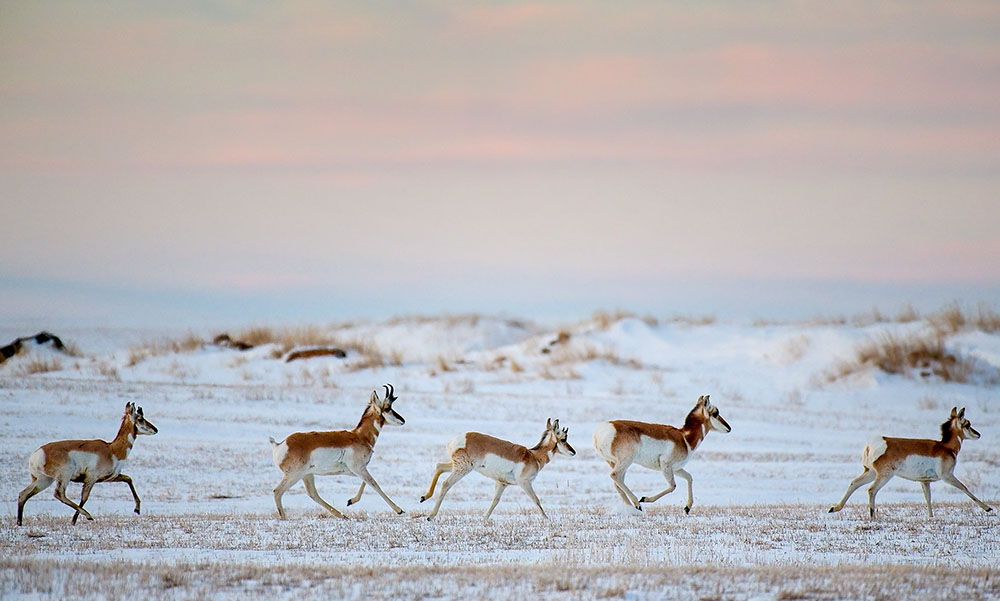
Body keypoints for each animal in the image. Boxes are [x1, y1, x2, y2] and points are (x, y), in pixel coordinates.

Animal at [16, 404, 158, 524]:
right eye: (140, 419)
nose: (156, 429)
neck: (112, 450)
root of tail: (37, 454)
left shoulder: (110, 477)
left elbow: (128, 479)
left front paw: (137, 509)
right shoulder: (91, 479)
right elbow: (84, 498)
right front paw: (74, 521)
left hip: (43, 480)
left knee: (23, 494)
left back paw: (19, 523)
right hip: (63, 476)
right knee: (59, 494)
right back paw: (88, 515)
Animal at [270, 386, 406, 516]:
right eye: (387, 408)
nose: (403, 420)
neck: (360, 436)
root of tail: (280, 445)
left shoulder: (354, 470)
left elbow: (366, 482)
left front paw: (350, 501)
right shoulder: (358, 468)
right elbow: (374, 484)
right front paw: (399, 510)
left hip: (307, 475)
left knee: (313, 494)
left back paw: (342, 515)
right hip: (295, 475)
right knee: (277, 492)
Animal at [422, 418, 580, 520]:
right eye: (564, 438)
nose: (574, 452)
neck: (533, 455)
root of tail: (458, 439)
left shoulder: (501, 484)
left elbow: (495, 501)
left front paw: (484, 519)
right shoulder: (524, 483)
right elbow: (536, 499)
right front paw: (547, 518)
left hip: (458, 466)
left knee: (439, 466)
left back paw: (424, 497)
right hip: (462, 469)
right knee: (446, 484)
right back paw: (431, 516)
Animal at [588, 396, 732, 512]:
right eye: (715, 413)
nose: (729, 428)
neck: (684, 437)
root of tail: (601, 431)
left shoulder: (677, 469)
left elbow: (689, 477)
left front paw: (687, 508)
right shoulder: (666, 466)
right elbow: (673, 486)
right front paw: (644, 498)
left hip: (614, 463)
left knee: (617, 482)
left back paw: (631, 507)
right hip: (625, 462)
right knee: (615, 476)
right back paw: (637, 503)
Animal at [828, 406, 992, 516]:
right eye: (968, 424)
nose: (978, 434)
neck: (946, 447)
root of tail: (874, 443)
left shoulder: (924, 481)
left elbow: (928, 498)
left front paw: (931, 517)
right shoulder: (947, 476)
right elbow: (965, 488)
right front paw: (988, 508)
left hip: (871, 473)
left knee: (854, 483)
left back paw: (834, 508)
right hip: (884, 476)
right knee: (871, 490)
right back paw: (872, 516)